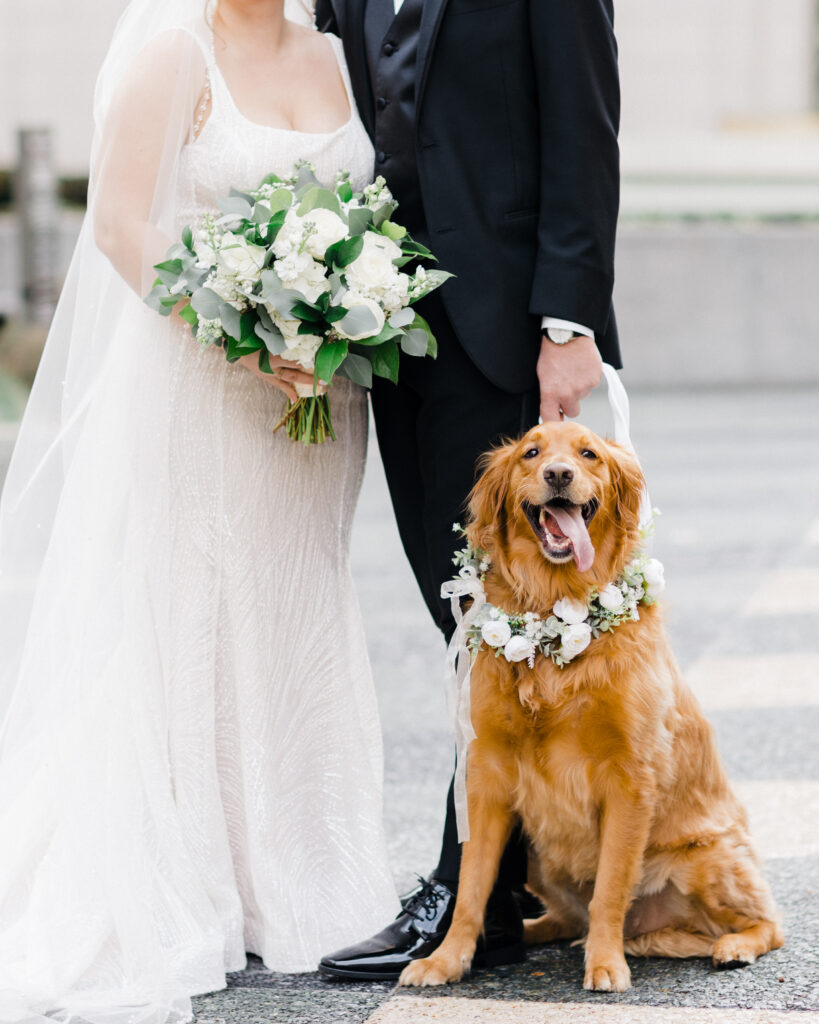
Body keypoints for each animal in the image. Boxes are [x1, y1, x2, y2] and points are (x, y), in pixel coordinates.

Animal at [399, 417, 782, 991]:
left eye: (589, 454)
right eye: (531, 453)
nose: (559, 474)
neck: (555, 609)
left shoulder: (629, 777)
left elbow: (610, 888)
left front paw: (605, 963)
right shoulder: (487, 773)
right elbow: (472, 888)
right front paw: (446, 959)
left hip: (708, 860)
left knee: (770, 922)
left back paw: (732, 945)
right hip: (536, 855)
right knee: (563, 918)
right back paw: (532, 932)